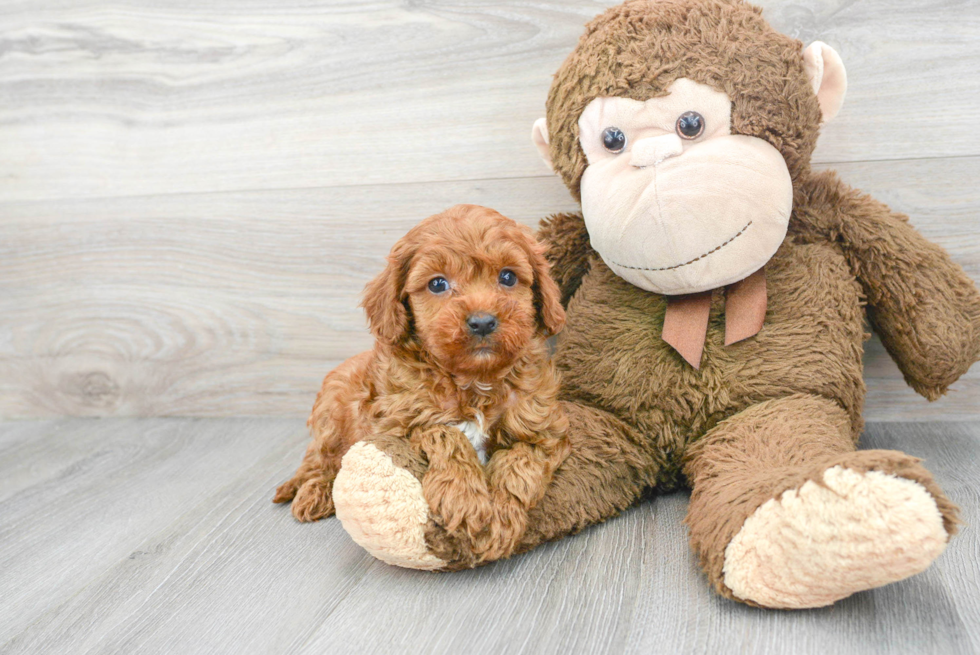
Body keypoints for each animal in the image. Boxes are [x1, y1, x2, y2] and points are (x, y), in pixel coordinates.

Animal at [272, 206, 572, 564]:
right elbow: (445, 433)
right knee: (318, 461)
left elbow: (520, 463)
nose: (483, 321)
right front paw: (465, 501)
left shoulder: (544, 430)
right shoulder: (399, 422)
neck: (474, 380)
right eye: (437, 284)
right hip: (330, 414)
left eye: (508, 277)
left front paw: (498, 520)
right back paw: (313, 491)